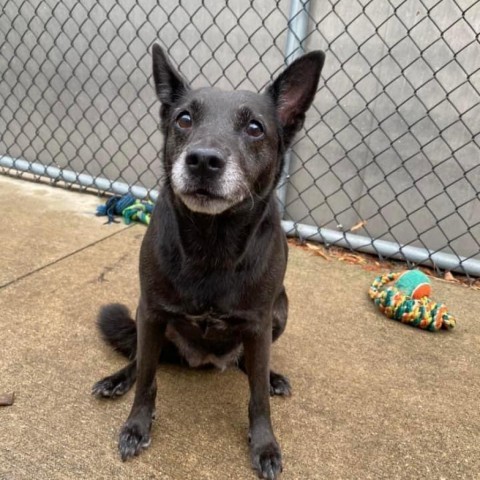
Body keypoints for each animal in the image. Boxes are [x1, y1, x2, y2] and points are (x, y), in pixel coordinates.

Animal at [92, 43, 324, 478]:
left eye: (255, 128)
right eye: (184, 119)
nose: (202, 160)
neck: (212, 243)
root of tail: (205, 360)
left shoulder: (259, 322)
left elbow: (257, 398)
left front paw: (264, 445)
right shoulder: (152, 312)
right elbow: (146, 379)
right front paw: (136, 426)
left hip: (280, 311)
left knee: (249, 366)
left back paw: (269, 375)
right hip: (147, 321)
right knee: (140, 358)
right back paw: (117, 379)